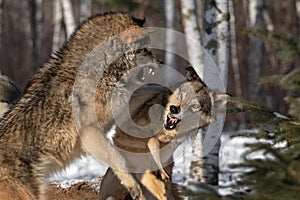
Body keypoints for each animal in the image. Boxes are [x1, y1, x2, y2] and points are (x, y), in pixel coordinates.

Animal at [0, 11, 161, 199]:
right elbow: (120, 160)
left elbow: (150, 89)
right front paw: (134, 188)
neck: (102, 67)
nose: (161, 63)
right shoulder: (89, 133)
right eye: (146, 50)